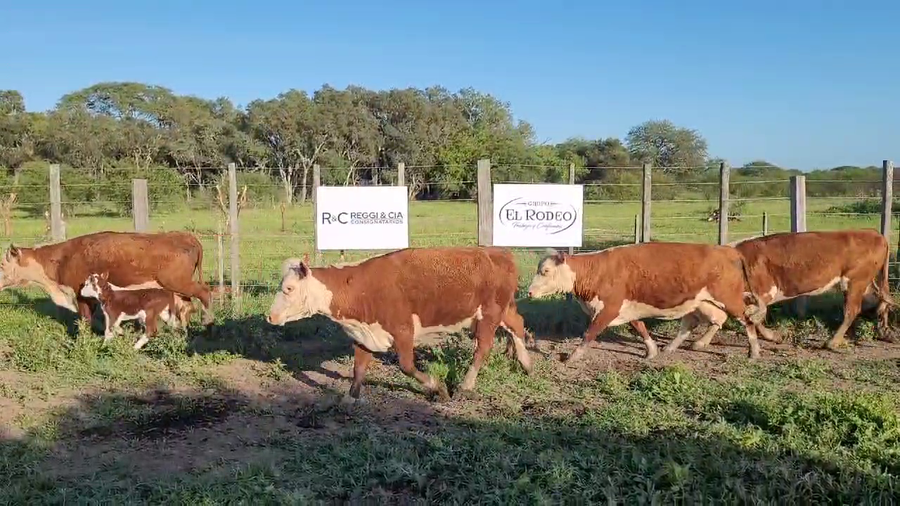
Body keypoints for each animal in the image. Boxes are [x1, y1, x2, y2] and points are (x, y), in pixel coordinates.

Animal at [0, 230, 213, 329]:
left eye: (2, 264)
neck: (63, 258)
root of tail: (184, 236)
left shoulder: (81, 296)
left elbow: (85, 319)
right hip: (178, 289)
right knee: (187, 307)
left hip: (179, 283)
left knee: (205, 294)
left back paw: (208, 325)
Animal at [266, 247, 534, 403]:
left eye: (288, 288)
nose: (270, 316)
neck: (360, 287)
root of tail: (499, 252)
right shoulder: (364, 333)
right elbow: (358, 368)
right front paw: (350, 399)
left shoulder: (403, 330)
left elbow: (406, 366)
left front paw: (437, 388)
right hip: (502, 309)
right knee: (518, 324)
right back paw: (526, 364)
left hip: (489, 314)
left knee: (483, 348)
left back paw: (466, 385)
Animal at [525, 242, 767, 362]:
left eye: (545, 271)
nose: (529, 292)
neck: (597, 271)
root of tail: (729, 250)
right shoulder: (626, 308)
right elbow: (640, 327)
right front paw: (652, 351)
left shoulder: (609, 309)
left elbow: (589, 334)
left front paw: (572, 356)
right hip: (703, 301)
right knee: (702, 321)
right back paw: (674, 347)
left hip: (729, 298)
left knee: (747, 321)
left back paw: (754, 352)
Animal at [687, 229, 894, 352]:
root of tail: (875, 234)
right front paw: (702, 341)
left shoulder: (761, 293)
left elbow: (754, 318)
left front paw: (773, 336)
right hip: (865, 283)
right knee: (881, 301)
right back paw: (883, 331)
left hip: (855, 282)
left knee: (852, 310)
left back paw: (833, 341)